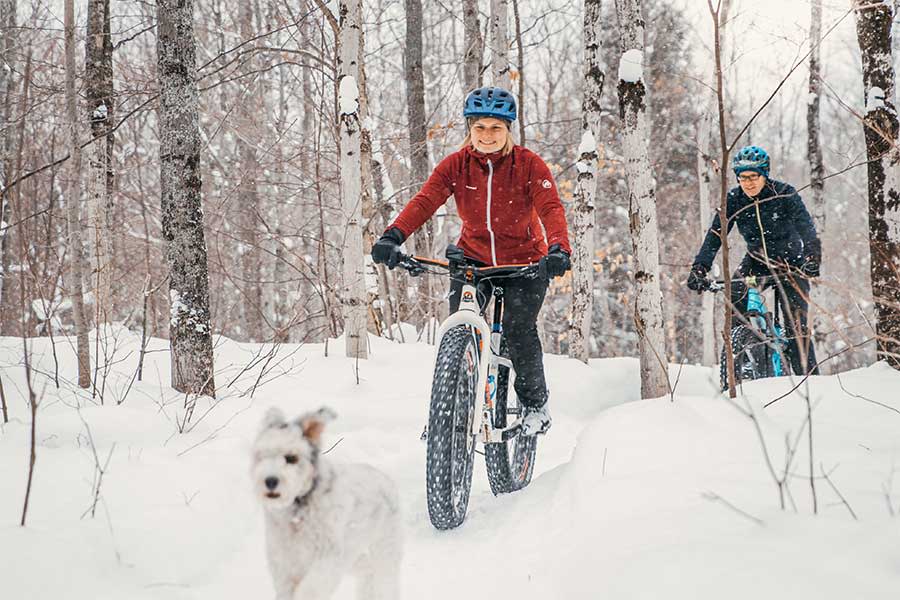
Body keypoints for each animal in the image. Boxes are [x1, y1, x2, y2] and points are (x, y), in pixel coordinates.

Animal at [248, 406, 400, 596]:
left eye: (291, 458)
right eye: (261, 456)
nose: (270, 481)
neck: (298, 508)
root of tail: (386, 479)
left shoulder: (327, 558)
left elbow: (309, 589)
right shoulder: (284, 564)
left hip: (384, 548)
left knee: (384, 579)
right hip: (352, 553)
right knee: (366, 569)